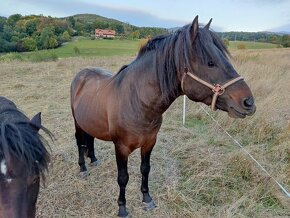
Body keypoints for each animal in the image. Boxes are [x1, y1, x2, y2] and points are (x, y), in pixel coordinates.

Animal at [70, 16, 256, 217]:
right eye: (210, 62)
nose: (248, 102)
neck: (136, 102)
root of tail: (81, 74)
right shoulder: (121, 148)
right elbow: (123, 177)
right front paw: (122, 208)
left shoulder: (149, 143)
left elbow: (145, 170)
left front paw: (147, 199)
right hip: (77, 122)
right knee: (79, 142)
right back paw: (83, 167)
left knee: (90, 139)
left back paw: (93, 159)